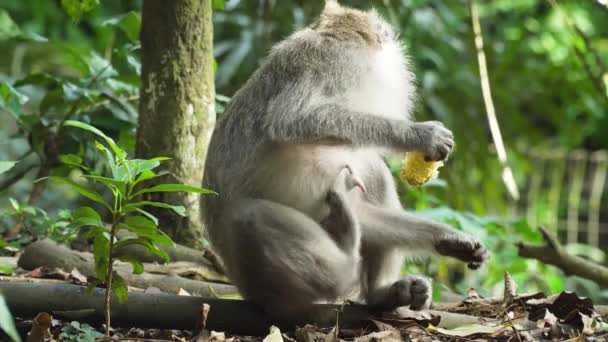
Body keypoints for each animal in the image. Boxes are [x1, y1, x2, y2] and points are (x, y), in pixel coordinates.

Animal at [202, 0, 486, 324]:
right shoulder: (334, 61)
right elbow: (291, 120)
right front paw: (418, 134)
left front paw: (450, 239)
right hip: (257, 278)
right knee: (249, 215)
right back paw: (348, 259)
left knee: (373, 174)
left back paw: (381, 294)